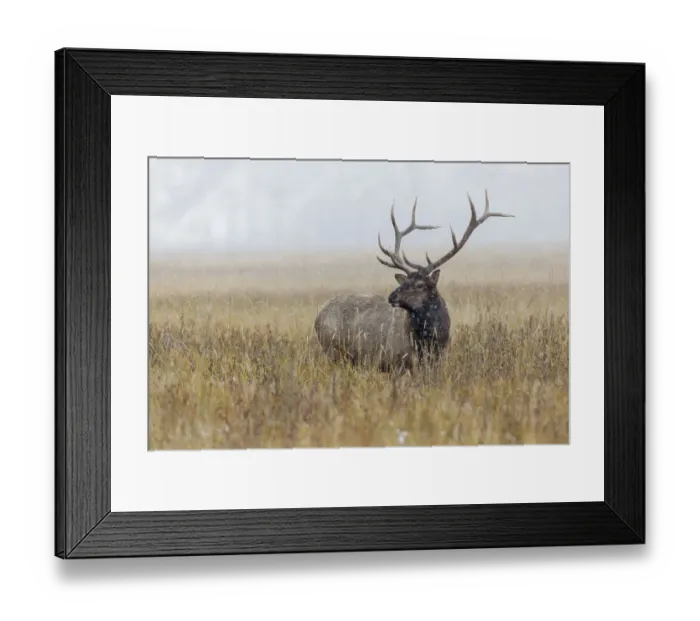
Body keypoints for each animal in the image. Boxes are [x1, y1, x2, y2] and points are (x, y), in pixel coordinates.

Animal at [313, 189, 514, 372]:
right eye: (403, 282)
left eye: (420, 284)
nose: (392, 296)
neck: (429, 342)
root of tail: (318, 317)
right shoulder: (396, 361)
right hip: (333, 351)